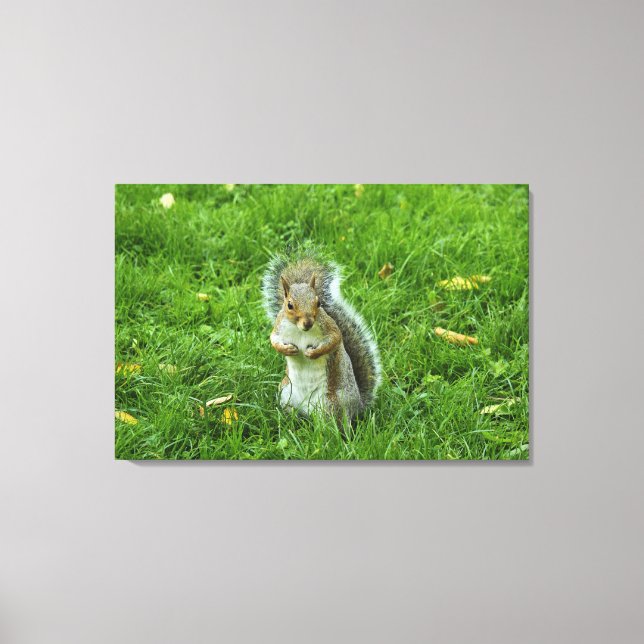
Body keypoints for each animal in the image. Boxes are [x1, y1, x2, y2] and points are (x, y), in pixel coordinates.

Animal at [262, 251, 381, 421]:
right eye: (289, 305)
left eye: (318, 303)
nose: (308, 323)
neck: (300, 330)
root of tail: (358, 405)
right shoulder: (279, 327)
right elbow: (273, 340)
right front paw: (287, 350)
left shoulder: (329, 327)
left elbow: (334, 339)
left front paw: (312, 353)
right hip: (285, 394)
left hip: (333, 405)